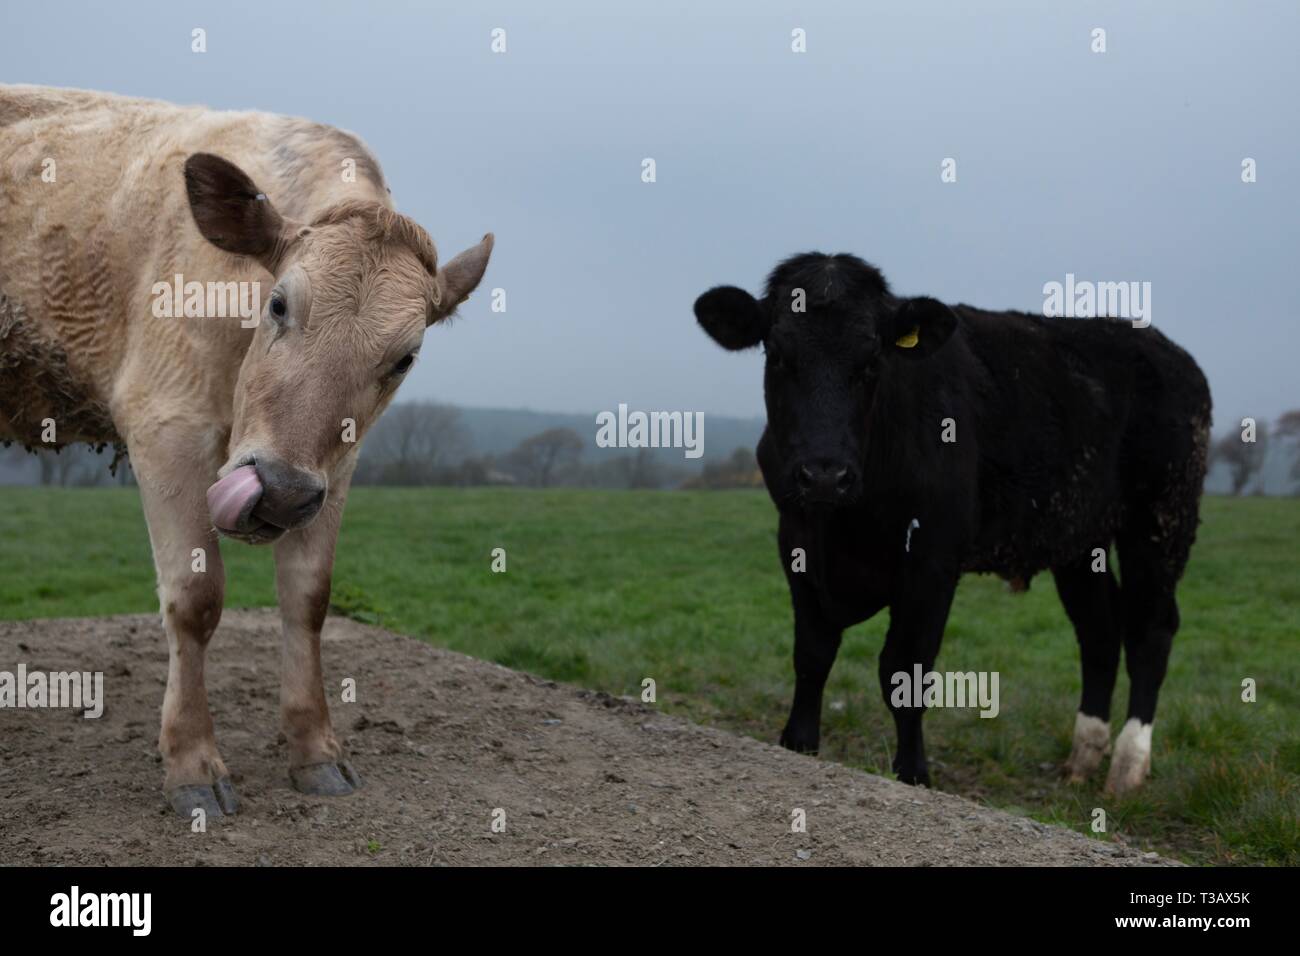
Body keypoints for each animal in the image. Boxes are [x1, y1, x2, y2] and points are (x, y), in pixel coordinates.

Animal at [0, 85, 493, 816]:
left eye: (405, 358)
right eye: (280, 305)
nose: (280, 492)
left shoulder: (334, 467)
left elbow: (308, 598)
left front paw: (316, 750)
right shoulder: (166, 422)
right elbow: (196, 598)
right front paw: (191, 764)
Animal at [696, 252, 1211, 790]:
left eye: (872, 360)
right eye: (777, 355)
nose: (824, 474)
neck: (843, 526)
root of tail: (1166, 350)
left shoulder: (933, 558)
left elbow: (904, 670)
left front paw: (913, 772)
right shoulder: (796, 542)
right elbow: (813, 654)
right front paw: (798, 743)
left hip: (1160, 520)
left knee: (1150, 629)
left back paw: (1127, 766)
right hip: (1078, 536)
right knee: (1100, 630)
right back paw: (1083, 757)